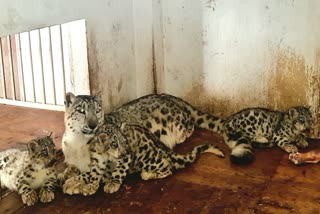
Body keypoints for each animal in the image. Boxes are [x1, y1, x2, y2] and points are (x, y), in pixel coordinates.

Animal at [62, 122, 222, 196]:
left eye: (125, 141)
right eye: (114, 144)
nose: (124, 151)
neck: (106, 156)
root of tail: (164, 147)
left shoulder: (125, 159)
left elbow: (117, 172)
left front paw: (112, 184)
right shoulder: (98, 162)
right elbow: (91, 174)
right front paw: (84, 185)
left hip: (147, 158)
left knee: (168, 167)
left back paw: (147, 174)